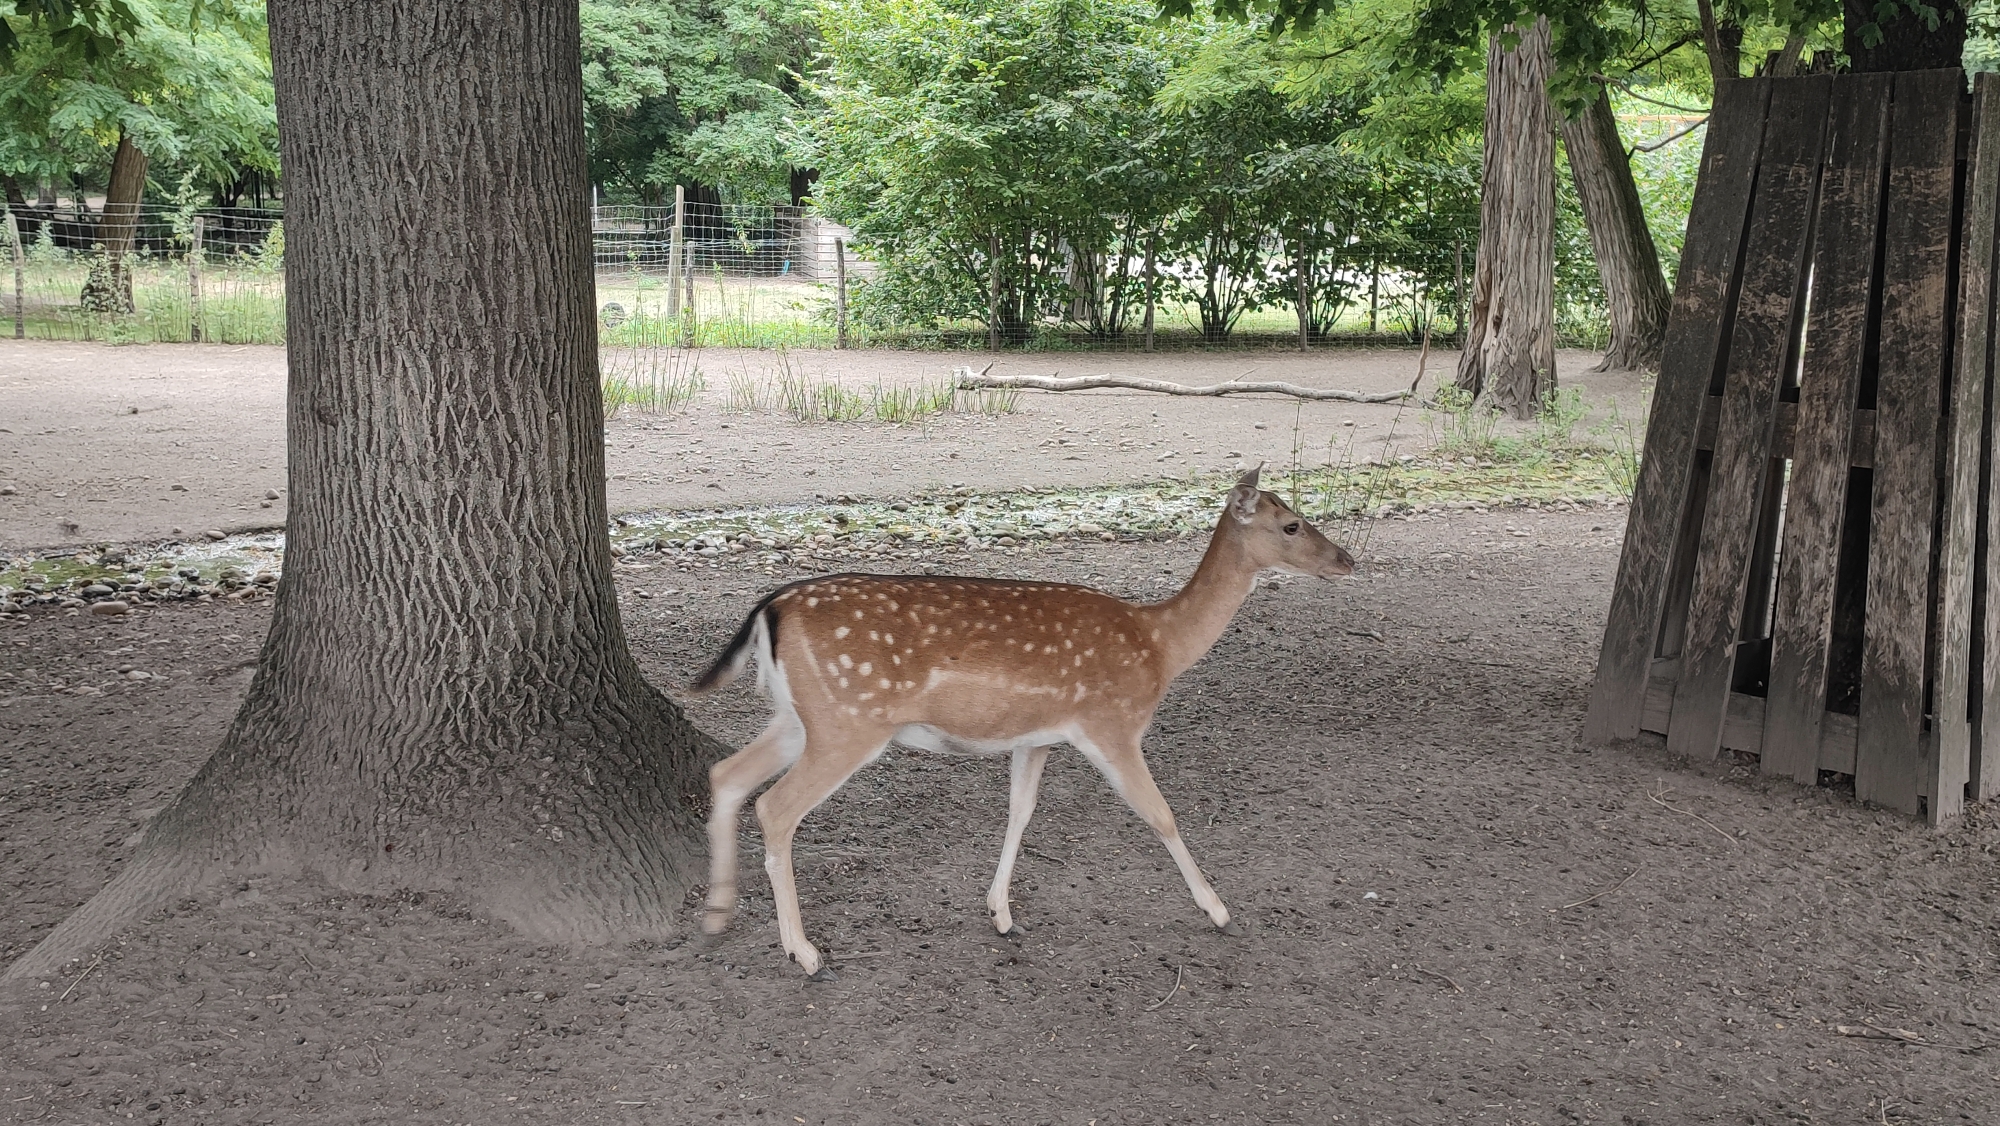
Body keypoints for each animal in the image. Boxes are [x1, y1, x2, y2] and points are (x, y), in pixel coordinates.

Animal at [692, 468, 1360, 980]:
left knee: (727, 773)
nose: (1348, 560)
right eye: (1292, 524)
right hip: (849, 721)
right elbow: (1160, 813)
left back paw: (717, 915)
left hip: (801, 718)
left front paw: (1001, 914)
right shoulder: (1112, 725)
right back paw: (804, 953)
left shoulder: (1038, 737)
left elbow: (1022, 810)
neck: (1160, 646)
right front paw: (1219, 911)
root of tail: (770, 608)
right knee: (775, 807)